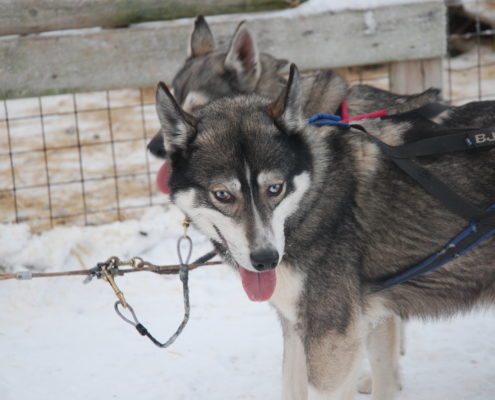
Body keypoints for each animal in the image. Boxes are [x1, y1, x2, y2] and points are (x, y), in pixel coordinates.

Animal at [154, 64, 495, 400]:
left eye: (275, 188)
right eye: (222, 195)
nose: (266, 259)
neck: (314, 197)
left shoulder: (333, 341)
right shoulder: (301, 328)